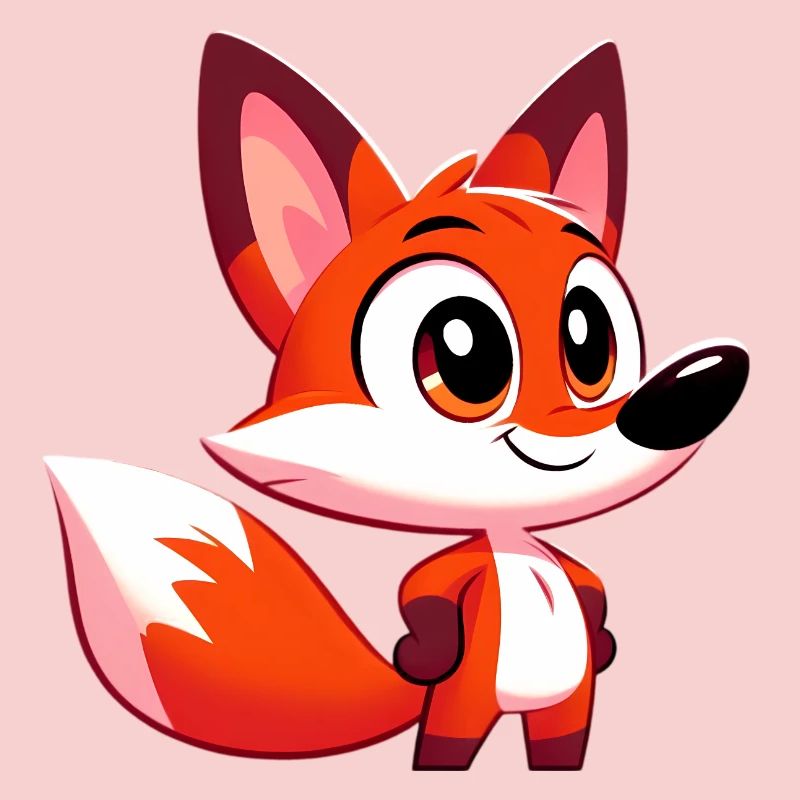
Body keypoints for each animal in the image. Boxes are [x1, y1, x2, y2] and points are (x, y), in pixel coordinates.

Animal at [45, 33, 749, 771]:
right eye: (464, 353)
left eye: (589, 342)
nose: (698, 387)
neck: (516, 543)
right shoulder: (457, 586)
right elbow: (429, 595)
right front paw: (421, 650)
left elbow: (588, 589)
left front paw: (604, 638)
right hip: (467, 705)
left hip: (565, 709)